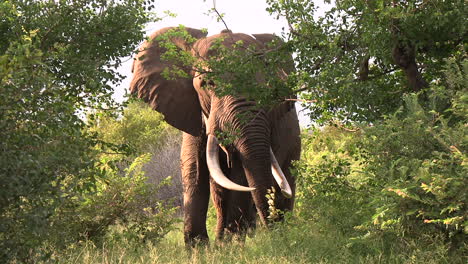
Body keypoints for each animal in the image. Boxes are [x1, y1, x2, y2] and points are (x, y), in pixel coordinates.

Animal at [130, 25, 302, 244]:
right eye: (207, 83)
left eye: (268, 89)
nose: (274, 234)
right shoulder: (191, 109)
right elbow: (193, 168)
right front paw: (198, 247)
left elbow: (240, 176)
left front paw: (230, 245)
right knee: (219, 193)